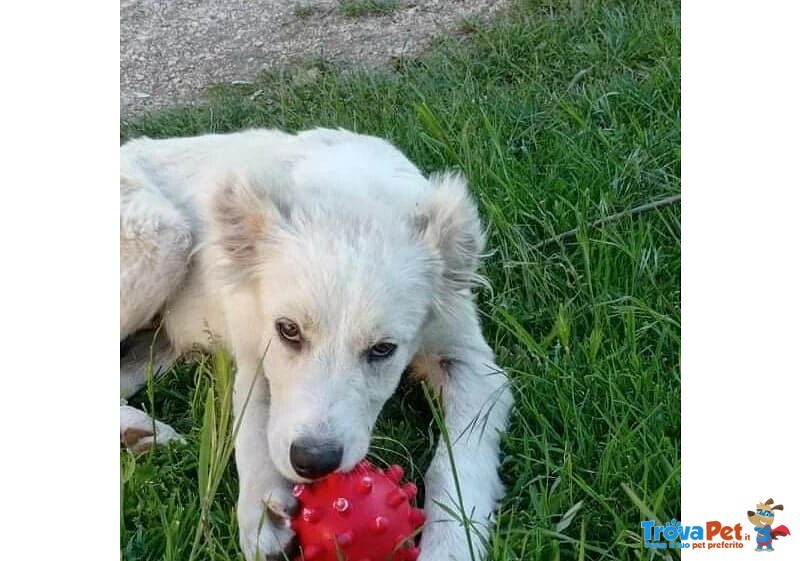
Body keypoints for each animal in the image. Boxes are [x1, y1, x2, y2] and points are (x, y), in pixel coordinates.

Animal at [122, 128, 516, 560]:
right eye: (288, 330)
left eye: (383, 349)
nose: (314, 462)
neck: (353, 191)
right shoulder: (253, 343)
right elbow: (254, 422)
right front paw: (263, 508)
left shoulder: (470, 360)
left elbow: (458, 458)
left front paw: (450, 543)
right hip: (163, 237)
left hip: (164, 339)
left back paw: (139, 434)